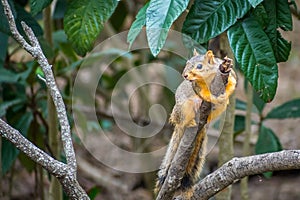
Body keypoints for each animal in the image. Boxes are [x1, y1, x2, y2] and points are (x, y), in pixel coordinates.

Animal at [155, 49, 237, 196]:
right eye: (187, 63)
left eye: (199, 66)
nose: (185, 75)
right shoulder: (196, 86)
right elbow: (201, 92)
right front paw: (207, 97)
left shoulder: (230, 75)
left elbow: (232, 82)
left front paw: (225, 95)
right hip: (182, 109)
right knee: (182, 119)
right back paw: (192, 117)